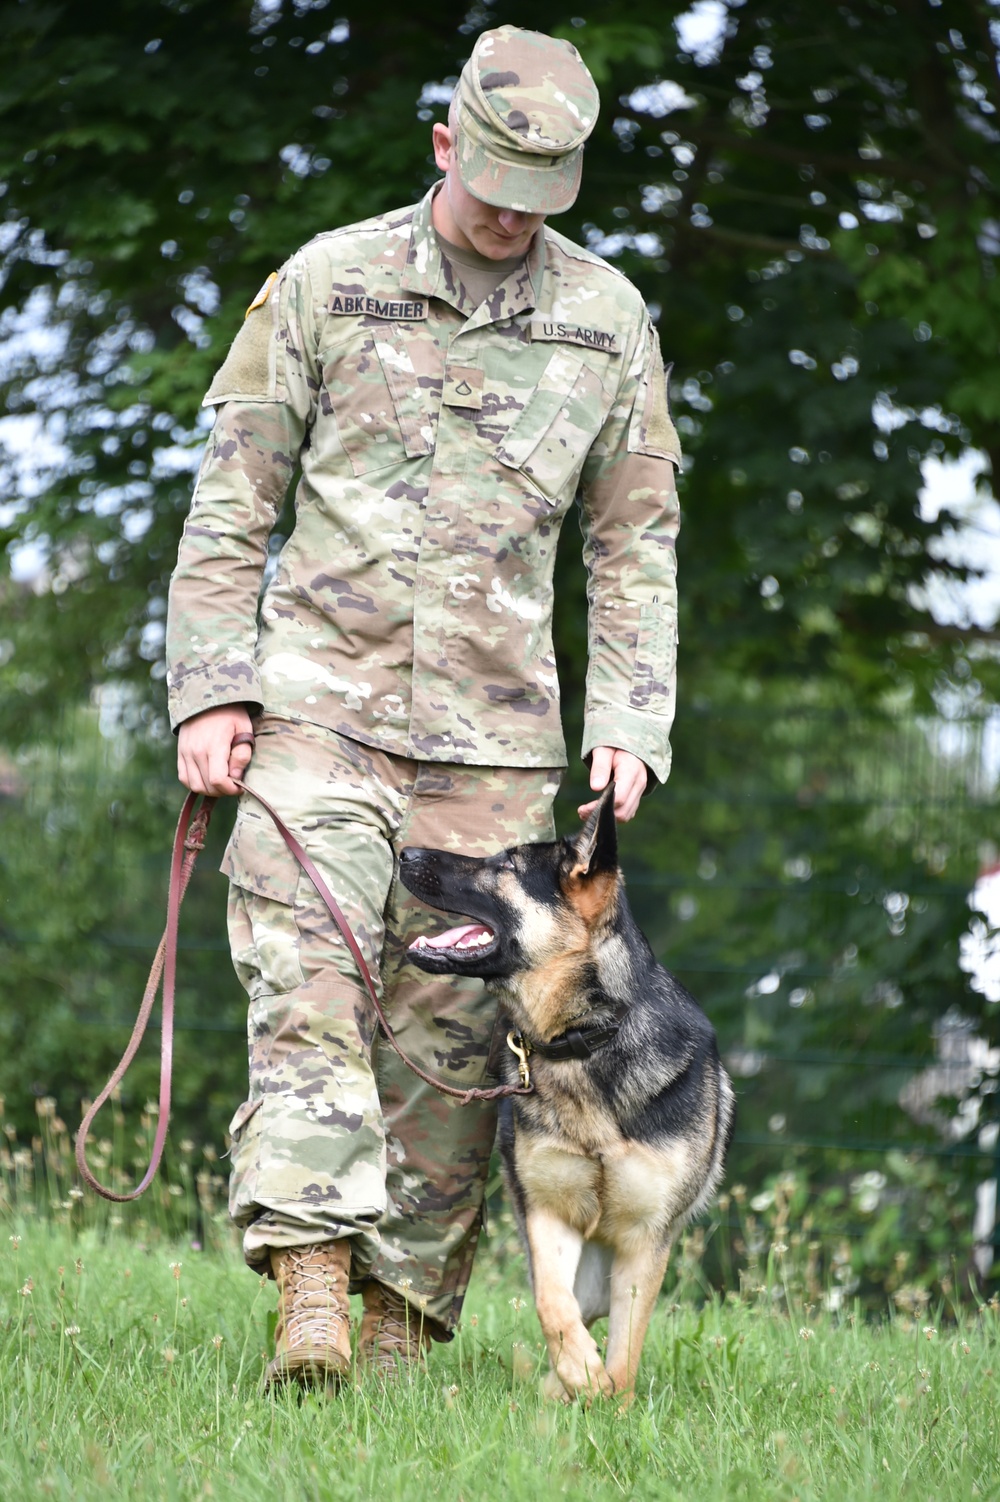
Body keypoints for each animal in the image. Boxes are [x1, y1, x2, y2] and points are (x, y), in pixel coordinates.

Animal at [396, 781, 732, 1399]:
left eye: (505, 864)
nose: (404, 852)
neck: (585, 1039)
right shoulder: (548, 1215)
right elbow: (553, 1305)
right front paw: (580, 1369)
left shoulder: (645, 1242)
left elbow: (625, 1354)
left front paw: (611, 1398)